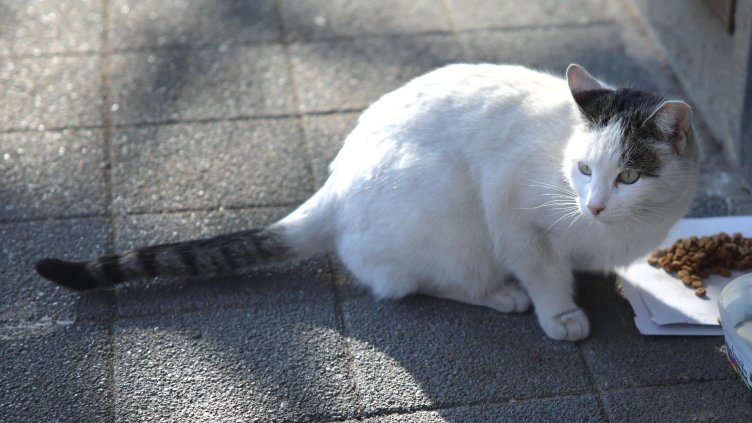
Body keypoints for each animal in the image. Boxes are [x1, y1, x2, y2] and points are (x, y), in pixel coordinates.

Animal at [38, 63, 704, 342]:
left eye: (629, 177)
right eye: (585, 169)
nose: (593, 206)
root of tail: (333, 186)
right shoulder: (516, 214)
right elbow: (543, 270)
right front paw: (559, 312)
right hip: (449, 212)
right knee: (410, 282)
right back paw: (500, 294)